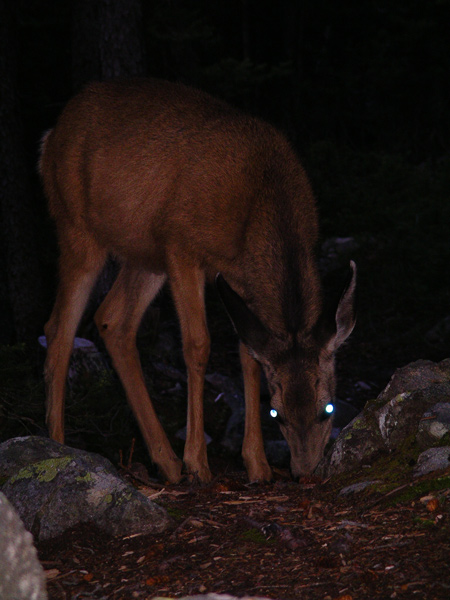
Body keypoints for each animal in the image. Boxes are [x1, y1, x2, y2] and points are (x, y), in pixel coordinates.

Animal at [38, 78, 356, 482]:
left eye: (327, 409)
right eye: (278, 414)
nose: (303, 472)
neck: (261, 202)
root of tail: (51, 135)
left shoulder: (241, 278)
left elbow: (248, 356)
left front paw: (257, 464)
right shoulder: (182, 246)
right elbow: (198, 345)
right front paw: (198, 462)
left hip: (146, 255)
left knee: (112, 320)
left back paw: (166, 461)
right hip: (78, 229)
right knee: (59, 329)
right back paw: (59, 446)